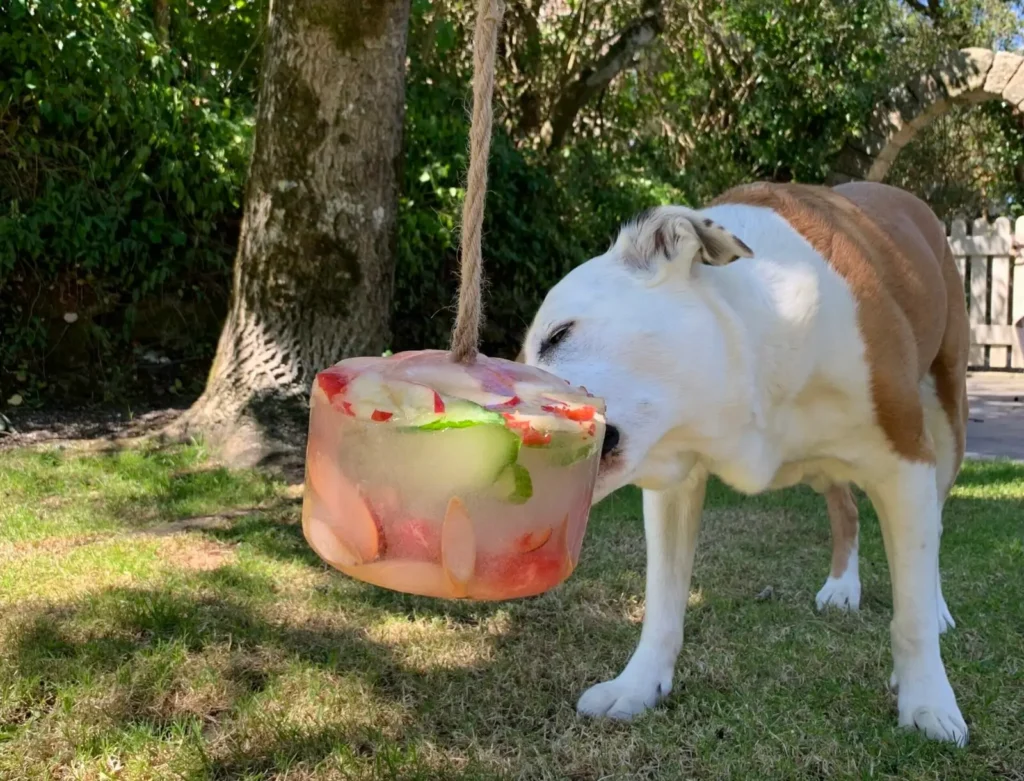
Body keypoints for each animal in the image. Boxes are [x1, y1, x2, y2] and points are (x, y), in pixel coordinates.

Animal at [524, 182, 970, 745]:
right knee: (844, 507)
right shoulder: (674, 488)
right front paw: (638, 686)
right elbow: (663, 599)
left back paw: (937, 607)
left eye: (559, 335)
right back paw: (842, 587)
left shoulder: (906, 461)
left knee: (936, 522)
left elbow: (911, 608)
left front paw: (928, 701)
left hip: (947, 419)